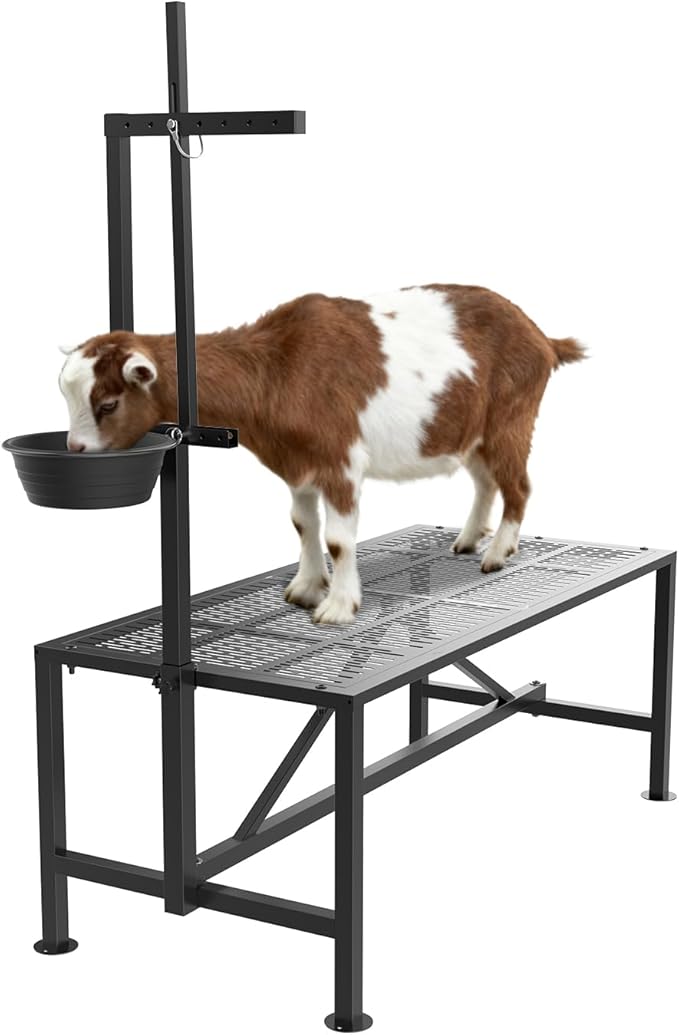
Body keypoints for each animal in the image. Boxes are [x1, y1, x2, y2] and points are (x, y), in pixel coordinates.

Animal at [59, 284, 585, 624]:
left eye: (108, 404)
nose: (76, 450)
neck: (275, 367)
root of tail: (541, 337)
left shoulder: (340, 461)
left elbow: (337, 539)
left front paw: (338, 607)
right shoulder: (299, 463)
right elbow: (302, 525)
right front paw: (307, 588)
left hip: (510, 420)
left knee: (518, 484)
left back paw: (496, 554)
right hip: (470, 430)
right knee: (484, 481)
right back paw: (469, 538)